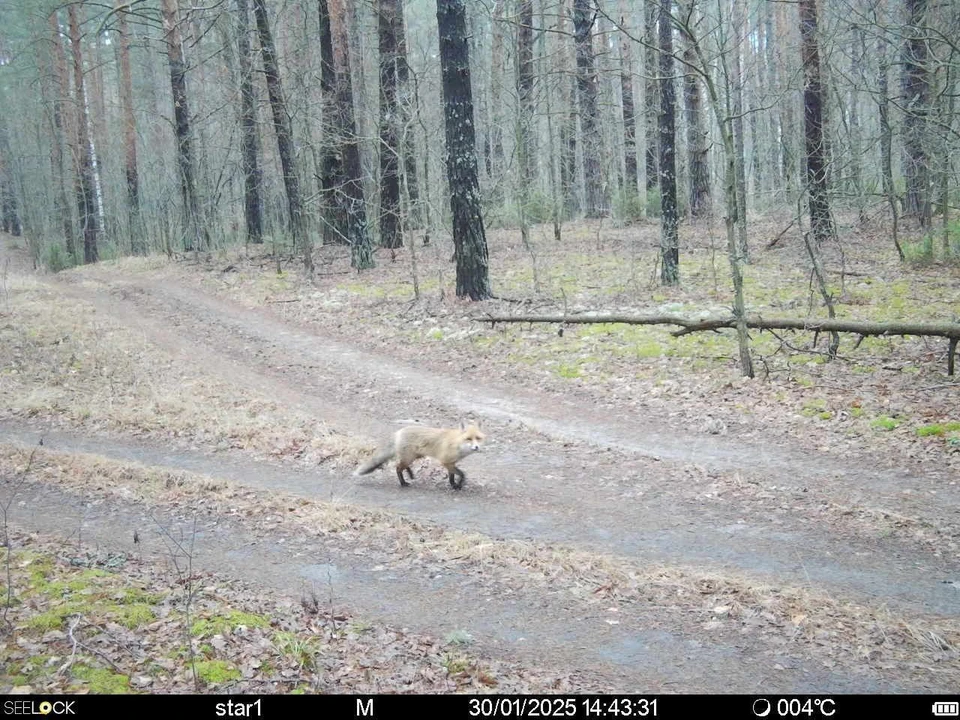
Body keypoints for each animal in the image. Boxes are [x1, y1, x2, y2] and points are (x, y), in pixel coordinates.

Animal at [354, 422, 484, 490]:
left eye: (478, 438)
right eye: (468, 439)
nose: (476, 447)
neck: (456, 443)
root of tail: (399, 432)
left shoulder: (451, 463)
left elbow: (452, 476)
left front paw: (454, 485)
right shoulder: (446, 461)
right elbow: (462, 474)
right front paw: (459, 485)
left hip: (413, 457)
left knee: (402, 465)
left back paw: (410, 475)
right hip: (409, 457)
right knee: (398, 468)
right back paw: (403, 483)